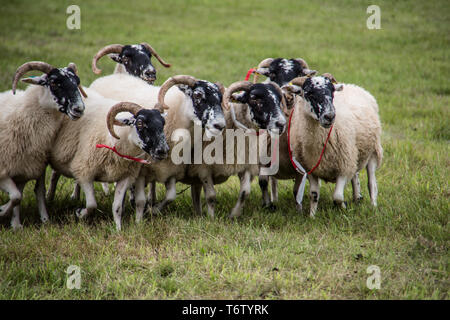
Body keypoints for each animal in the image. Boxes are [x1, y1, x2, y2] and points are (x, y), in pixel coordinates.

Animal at [0, 60, 85, 229]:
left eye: (77, 82)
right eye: (54, 82)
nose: (79, 109)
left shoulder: (28, 166)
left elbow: (23, 195)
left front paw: (17, 224)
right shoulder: (5, 170)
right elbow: (16, 195)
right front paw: (3, 212)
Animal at [48, 95, 170, 230]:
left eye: (163, 123)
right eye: (139, 123)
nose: (163, 150)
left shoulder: (125, 177)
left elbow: (117, 207)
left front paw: (118, 229)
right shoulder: (84, 172)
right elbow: (92, 204)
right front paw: (79, 213)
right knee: (54, 175)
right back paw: (50, 198)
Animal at [184, 80, 286, 219]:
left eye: (279, 99)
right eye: (254, 98)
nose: (281, 124)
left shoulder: (247, 164)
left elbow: (245, 193)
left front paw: (233, 215)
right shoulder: (203, 168)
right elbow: (210, 196)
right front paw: (211, 218)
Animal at [284, 73, 382, 216]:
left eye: (332, 93)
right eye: (309, 93)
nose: (329, 116)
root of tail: (354, 86)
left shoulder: (343, 166)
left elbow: (338, 196)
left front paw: (343, 207)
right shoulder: (310, 169)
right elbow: (314, 194)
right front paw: (312, 215)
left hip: (373, 150)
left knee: (372, 183)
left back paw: (373, 205)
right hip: (354, 153)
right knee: (355, 175)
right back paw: (357, 198)